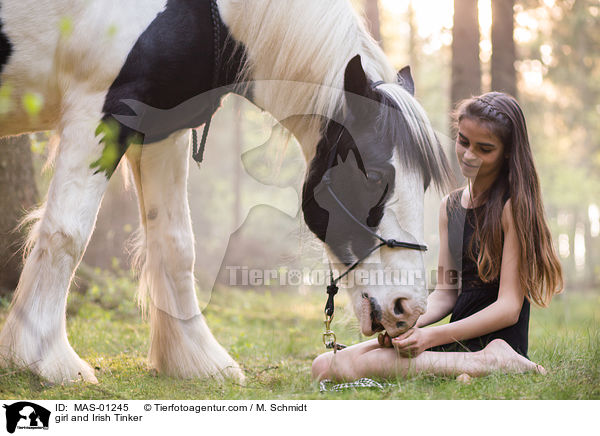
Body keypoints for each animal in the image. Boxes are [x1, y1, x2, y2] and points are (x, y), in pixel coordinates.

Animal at [0, 0, 450, 382]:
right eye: (373, 177)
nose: (408, 308)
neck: (207, 10)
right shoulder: (97, 111)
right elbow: (66, 233)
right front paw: (45, 361)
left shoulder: (162, 126)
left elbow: (176, 244)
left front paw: (195, 360)